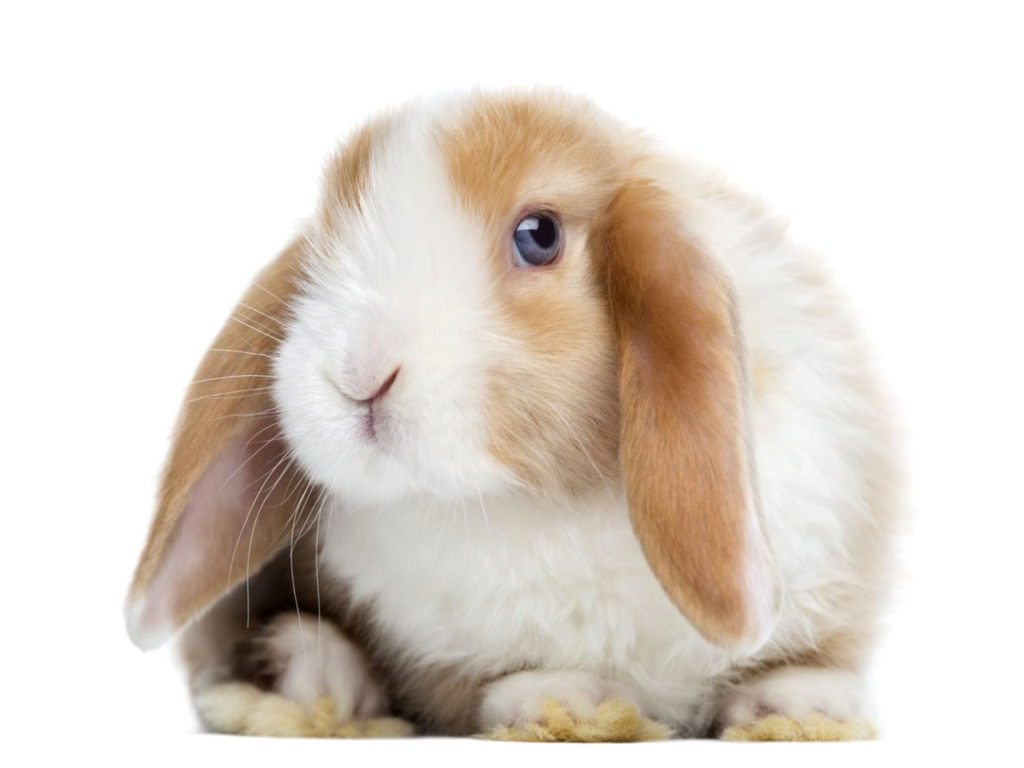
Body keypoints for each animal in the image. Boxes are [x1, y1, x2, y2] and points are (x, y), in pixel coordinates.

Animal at [124, 89, 902, 739]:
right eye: (325, 243)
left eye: (538, 235)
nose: (357, 374)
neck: (540, 501)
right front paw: (569, 704)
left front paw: (799, 708)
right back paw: (309, 686)